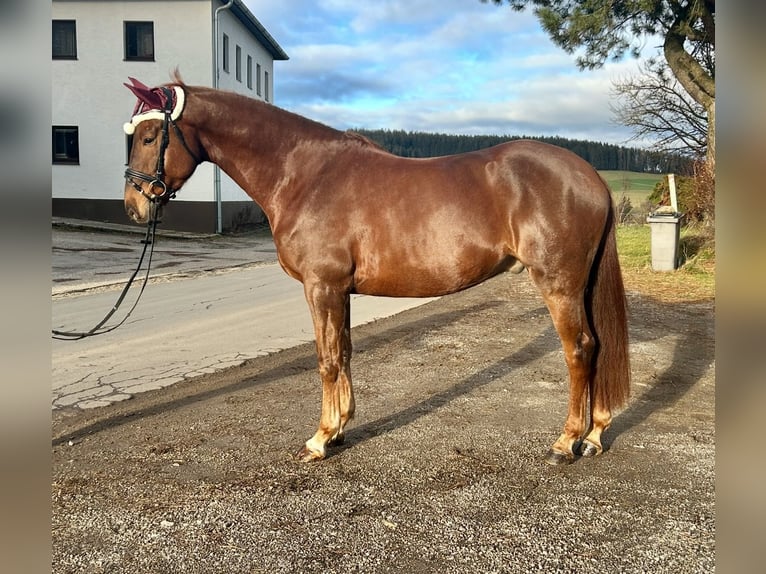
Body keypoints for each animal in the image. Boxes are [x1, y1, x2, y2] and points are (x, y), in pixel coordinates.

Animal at [124, 74, 632, 466]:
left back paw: (565, 443)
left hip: (559, 284)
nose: (133, 206)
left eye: (149, 137)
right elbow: (345, 353)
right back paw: (593, 435)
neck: (305, 174)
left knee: (580, 350)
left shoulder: (322, 287)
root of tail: (589, 176)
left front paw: (319, 440)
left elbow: (328, 360)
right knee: (598, 345)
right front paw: (340, 430)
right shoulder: (339, 291)